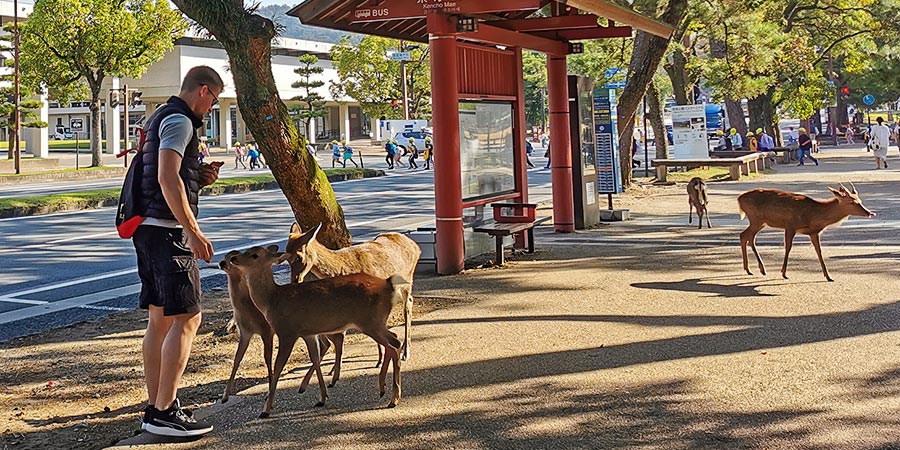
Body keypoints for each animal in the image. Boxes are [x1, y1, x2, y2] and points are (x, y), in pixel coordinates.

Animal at [227, 245, 407, 418]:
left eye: (254, 255)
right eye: (245, 251)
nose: (234, 258)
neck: (272, 300)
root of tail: (388, 285)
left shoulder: (287, 331)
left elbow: (278, 367)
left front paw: (266, 410)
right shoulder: (308, 333)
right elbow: (315, 358)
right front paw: (322, 398)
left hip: (370, 321)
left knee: (394, 344)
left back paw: (393, 398)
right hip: (375, 321)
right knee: (394, 341)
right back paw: (384, 390)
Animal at [738, 183, 875, 282]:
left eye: (859, 200)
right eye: (852, 202)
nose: (870, 213)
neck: (814, 215)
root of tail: (739, 199)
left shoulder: (814, 233)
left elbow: (819, 251)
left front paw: (828, 276)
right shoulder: (790, 225)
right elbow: (788, 248)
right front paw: (784, 273)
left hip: (760, 222)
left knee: (746, 237)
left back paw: (750, 269)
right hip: (756, 219)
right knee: (746, 236)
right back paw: (759, 269)